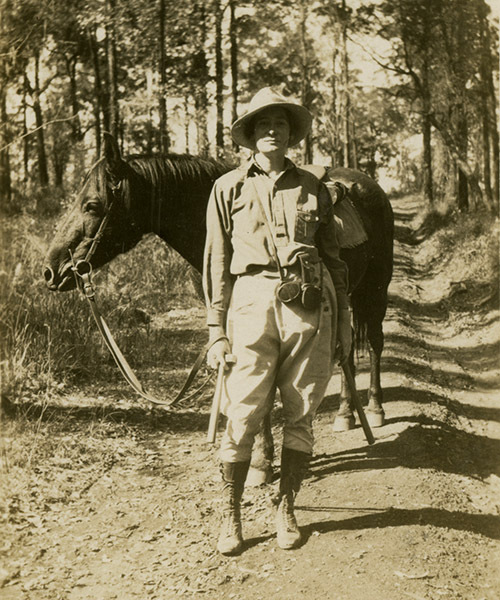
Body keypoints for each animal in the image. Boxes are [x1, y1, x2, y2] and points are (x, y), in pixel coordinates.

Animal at [44, 135, 394, 482]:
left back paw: (375, 410)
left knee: (374, 342)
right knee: (346, 350)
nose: (50, 270)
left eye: (92, 205)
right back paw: (346, 413)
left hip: (375, 291)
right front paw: (257, 458)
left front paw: (260, 462)